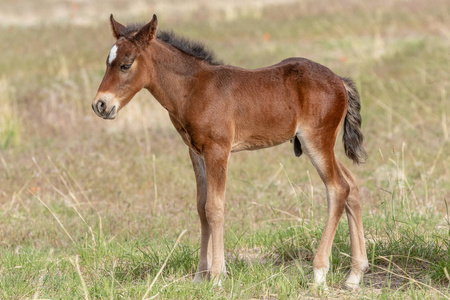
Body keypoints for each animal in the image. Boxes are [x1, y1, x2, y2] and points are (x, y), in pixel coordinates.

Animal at [91, 14, 370, 290]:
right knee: (352, 185)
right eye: (107, 62)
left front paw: (216, 276)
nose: (100, 105)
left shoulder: (218, 149)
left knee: (337, 189)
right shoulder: (195, 152)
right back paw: (355, 275)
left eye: (126, 65)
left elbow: (215, 207)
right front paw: (200, 275)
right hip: (323, 144)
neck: (193, 88)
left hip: (316, 141)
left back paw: (320, 272)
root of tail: (340, 82)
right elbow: (201, 207)